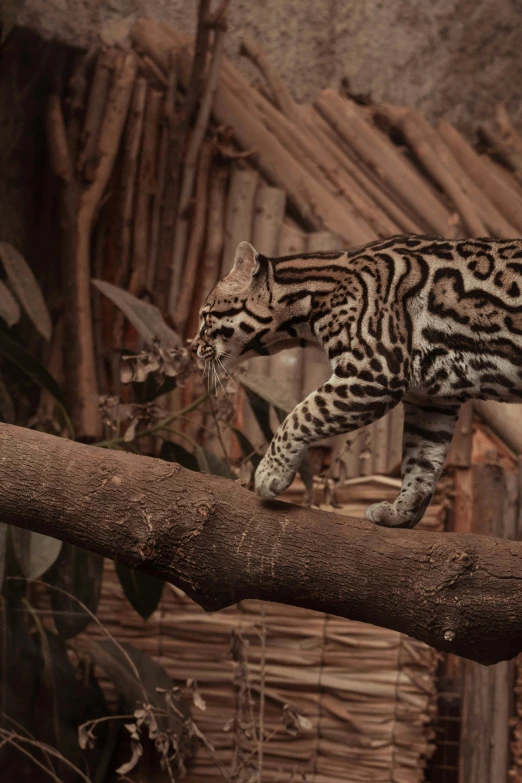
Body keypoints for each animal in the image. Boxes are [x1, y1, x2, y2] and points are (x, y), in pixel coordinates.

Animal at [192, 233, 522, 528]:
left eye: (205, 316)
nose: (191, 346)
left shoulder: (376, 371)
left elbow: (301, 413)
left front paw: (270, 472)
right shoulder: (432, 400)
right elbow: (422, 461)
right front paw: (402, 512)